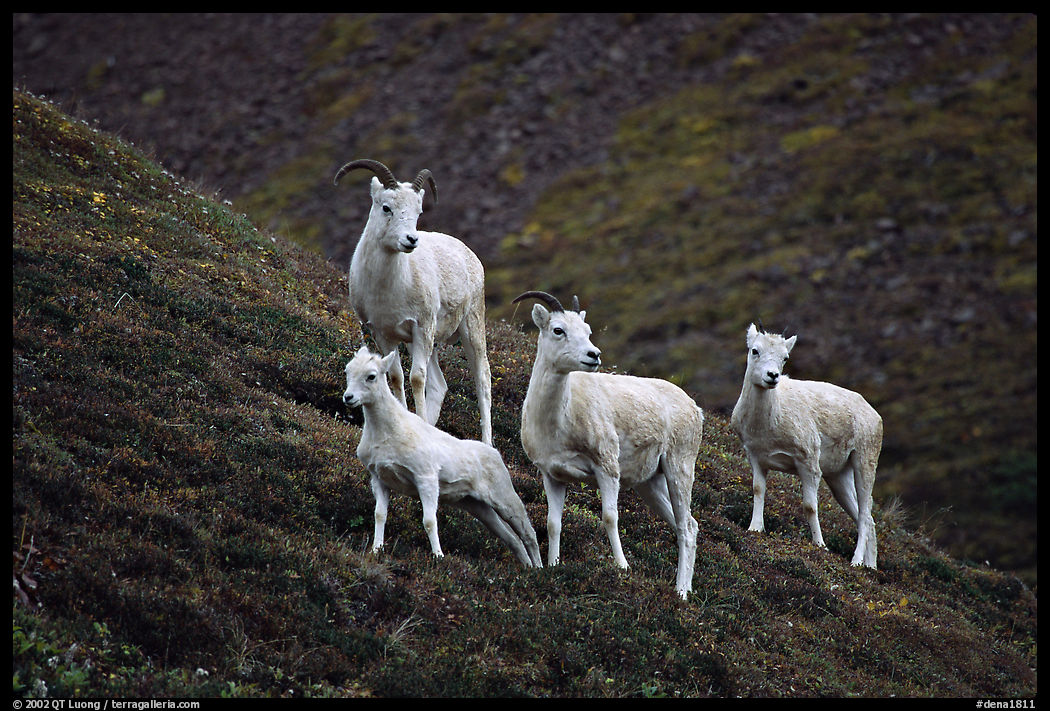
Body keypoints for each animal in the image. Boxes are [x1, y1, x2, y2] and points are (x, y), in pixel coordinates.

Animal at [335, 158, 493, 445]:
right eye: (386, 207)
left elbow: (416, 378)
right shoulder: (383, 335)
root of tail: (470, 255)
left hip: (469, 328)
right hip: (424, 343)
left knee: (482, 379)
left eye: (418, 212)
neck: (388, 288)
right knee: (439, 385)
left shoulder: (422, 327)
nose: (411, 240)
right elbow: (396, 378)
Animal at [342, 346, 542, 567]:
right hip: (478, 507)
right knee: (512, 539)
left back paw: (540, 569)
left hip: (504, 498)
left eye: (371, 376)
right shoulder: (379, 479)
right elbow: (380, 515)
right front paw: (376, 550)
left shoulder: (426, 479)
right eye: (347, 371)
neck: (387, 432)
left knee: (528, 534)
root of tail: (496, 455)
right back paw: (528, 567)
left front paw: (438, 556)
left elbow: (429, 521)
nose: (348, 397)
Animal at [512, 291, 703, 599]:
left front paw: (622, 568)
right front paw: (552, 565)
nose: (594, 355)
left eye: (587, 331)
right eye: (558, 330)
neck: (559, 422)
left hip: (680, 469)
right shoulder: (552, 476)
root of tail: (695, 408)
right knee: (688, 525)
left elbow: (610, 517)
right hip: (651, 484)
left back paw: (681, 594)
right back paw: (681, 591)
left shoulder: (607, 469)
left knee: (686, 527)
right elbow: (553, 523)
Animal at [730, 322, 882, 568]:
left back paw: (856, 562)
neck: (767, 423)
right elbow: (758, 490)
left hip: (864, 463)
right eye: (755, 350)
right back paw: (870, 567)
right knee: (865, 517)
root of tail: (874, 415)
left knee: (865, 516)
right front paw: (755, 528)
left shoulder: (808, 464)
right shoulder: (756, 457)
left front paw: (820, 546)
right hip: (838, 477)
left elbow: (810, 506)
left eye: (785, 357)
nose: (772, 376)